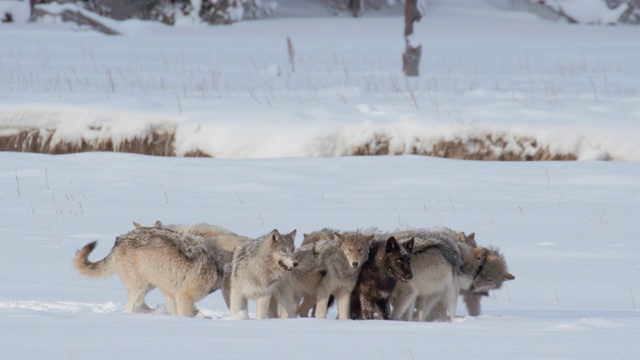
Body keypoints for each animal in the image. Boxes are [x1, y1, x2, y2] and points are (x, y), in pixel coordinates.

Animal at [74, 225, 220, 318]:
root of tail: (118, 242)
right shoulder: (185, 298)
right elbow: (185, 315)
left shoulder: (170, 294)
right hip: (140, 286)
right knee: (129, 308)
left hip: (149, 285)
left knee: (139, 304)